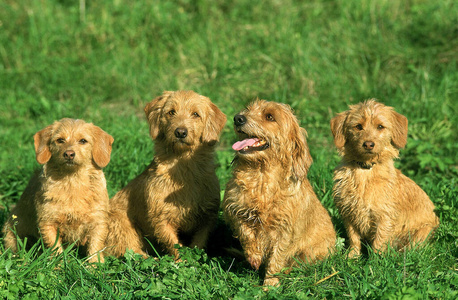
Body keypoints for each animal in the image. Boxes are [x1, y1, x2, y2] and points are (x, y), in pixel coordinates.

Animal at [2, 118, 113, 262]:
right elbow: (55, 249)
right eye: (60, 140)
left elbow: (95, 248)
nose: (69, 154)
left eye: (83, 140)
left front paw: (94, 266)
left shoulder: (98, 222)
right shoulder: (47, 223)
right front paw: (58, 265)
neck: (72, 182)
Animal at [104, 89, 225, 258]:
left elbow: (199, 243)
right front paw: (182, 261)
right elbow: (174, 244)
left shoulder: (208, 216)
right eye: (171, 112)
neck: (183, 170)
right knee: (131, 251)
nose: (180, 132)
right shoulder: (160, 218)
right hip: (121, 224)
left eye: (195, 114)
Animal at [223, 99, 336, 288]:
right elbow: (245, 232)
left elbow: (277, 258)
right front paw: (253, 255)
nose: (238, 118)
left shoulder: (285, 230)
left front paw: (270, 285)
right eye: (248, 109)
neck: (261, 175)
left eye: (270, 117)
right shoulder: (233, 209)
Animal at [330, 99, 438, 256]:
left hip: (421, 233)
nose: (368, 144)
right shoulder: (349, 213)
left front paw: (375, 260)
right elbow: (354, 239)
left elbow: (379, 241)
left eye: (380, 126)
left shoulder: (384, 216)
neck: (365, 170)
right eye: (358, 126)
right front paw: (352, 257)